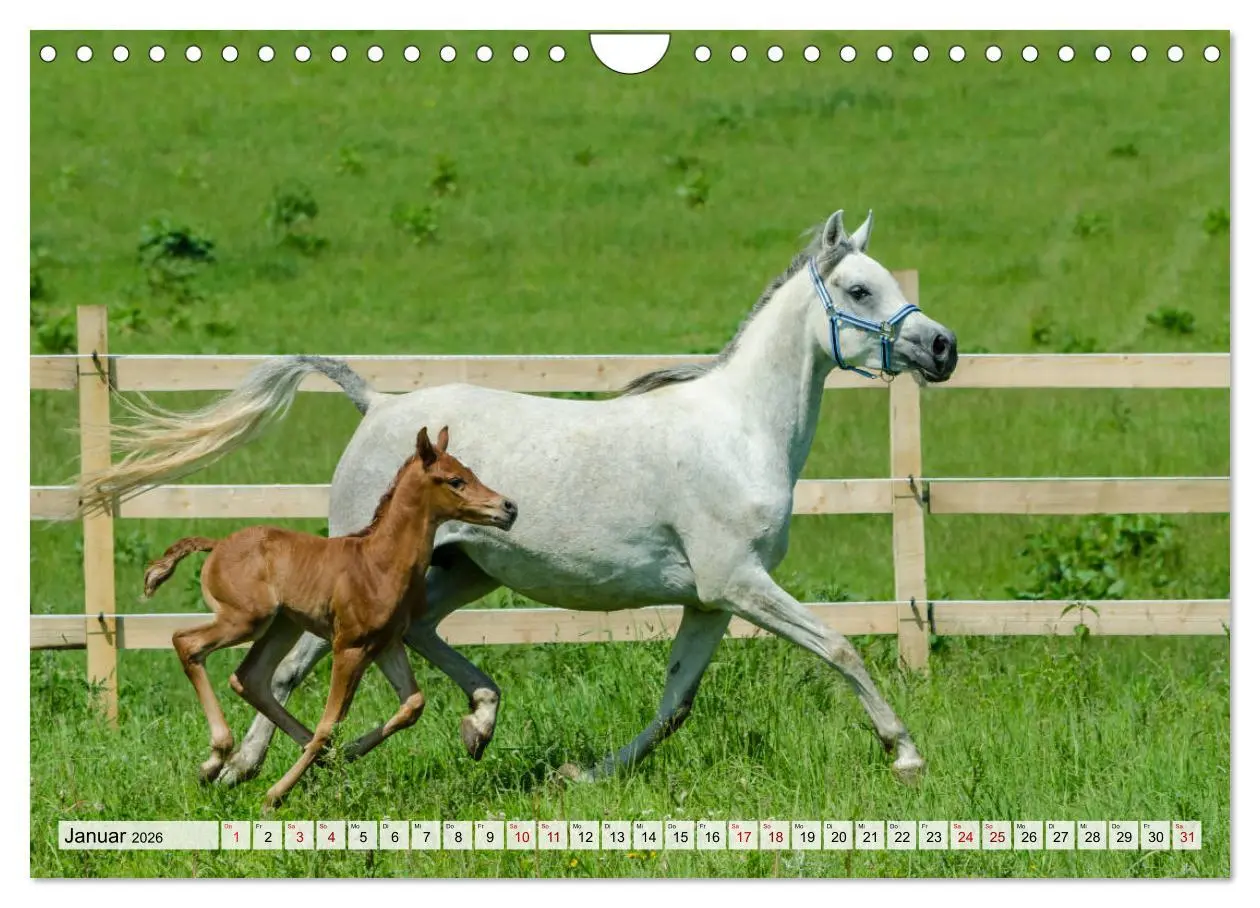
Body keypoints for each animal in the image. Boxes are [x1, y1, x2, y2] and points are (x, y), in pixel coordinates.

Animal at [141, 426, 517, 807]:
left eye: (471, 472)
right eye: (456, 480)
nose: (509, 508)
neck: (379, 562)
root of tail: (217, 544)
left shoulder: (385, 643)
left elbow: (412, 704)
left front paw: (345, 753)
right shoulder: (349, 646)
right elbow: (330, 723)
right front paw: (274, 796)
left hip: (282, 625)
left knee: (250, 677)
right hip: (246, 620)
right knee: (187, 643)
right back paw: (216, 759)